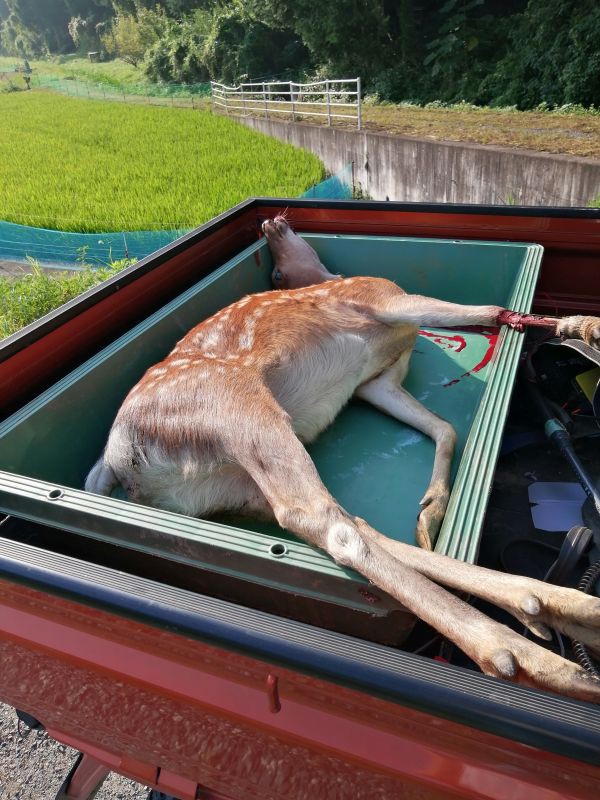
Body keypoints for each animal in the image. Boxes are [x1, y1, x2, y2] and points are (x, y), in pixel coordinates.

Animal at [86, 216, 600, 704]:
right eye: (275, 272)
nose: (271, 223)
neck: (331, 279)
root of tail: (116, 458)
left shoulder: (376, 382)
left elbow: (445, 428)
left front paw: (431, 509)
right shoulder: (386, 300)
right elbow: (492, 312)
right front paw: (583, 326)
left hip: (233, 486)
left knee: (349, 521)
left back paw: (551, 605)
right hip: (238, 409)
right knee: (324, 521)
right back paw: (531, 657)